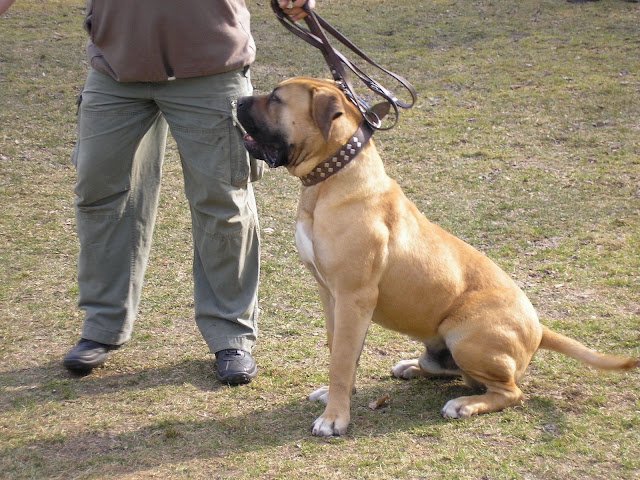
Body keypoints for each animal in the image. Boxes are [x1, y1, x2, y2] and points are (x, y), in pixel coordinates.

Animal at [237, 77, 639, 437]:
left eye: (275, 98)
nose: (238, 100)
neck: (330, 180)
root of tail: (540, 330)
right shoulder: (331, 296)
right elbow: (341, 353)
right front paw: (338, 399)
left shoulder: (353, 297)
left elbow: (341, 361)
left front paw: (335, 419)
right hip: (442, 346)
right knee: (457, 373)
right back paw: (412, 367)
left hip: (466, 337)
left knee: (509, 391)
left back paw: (463, 405)